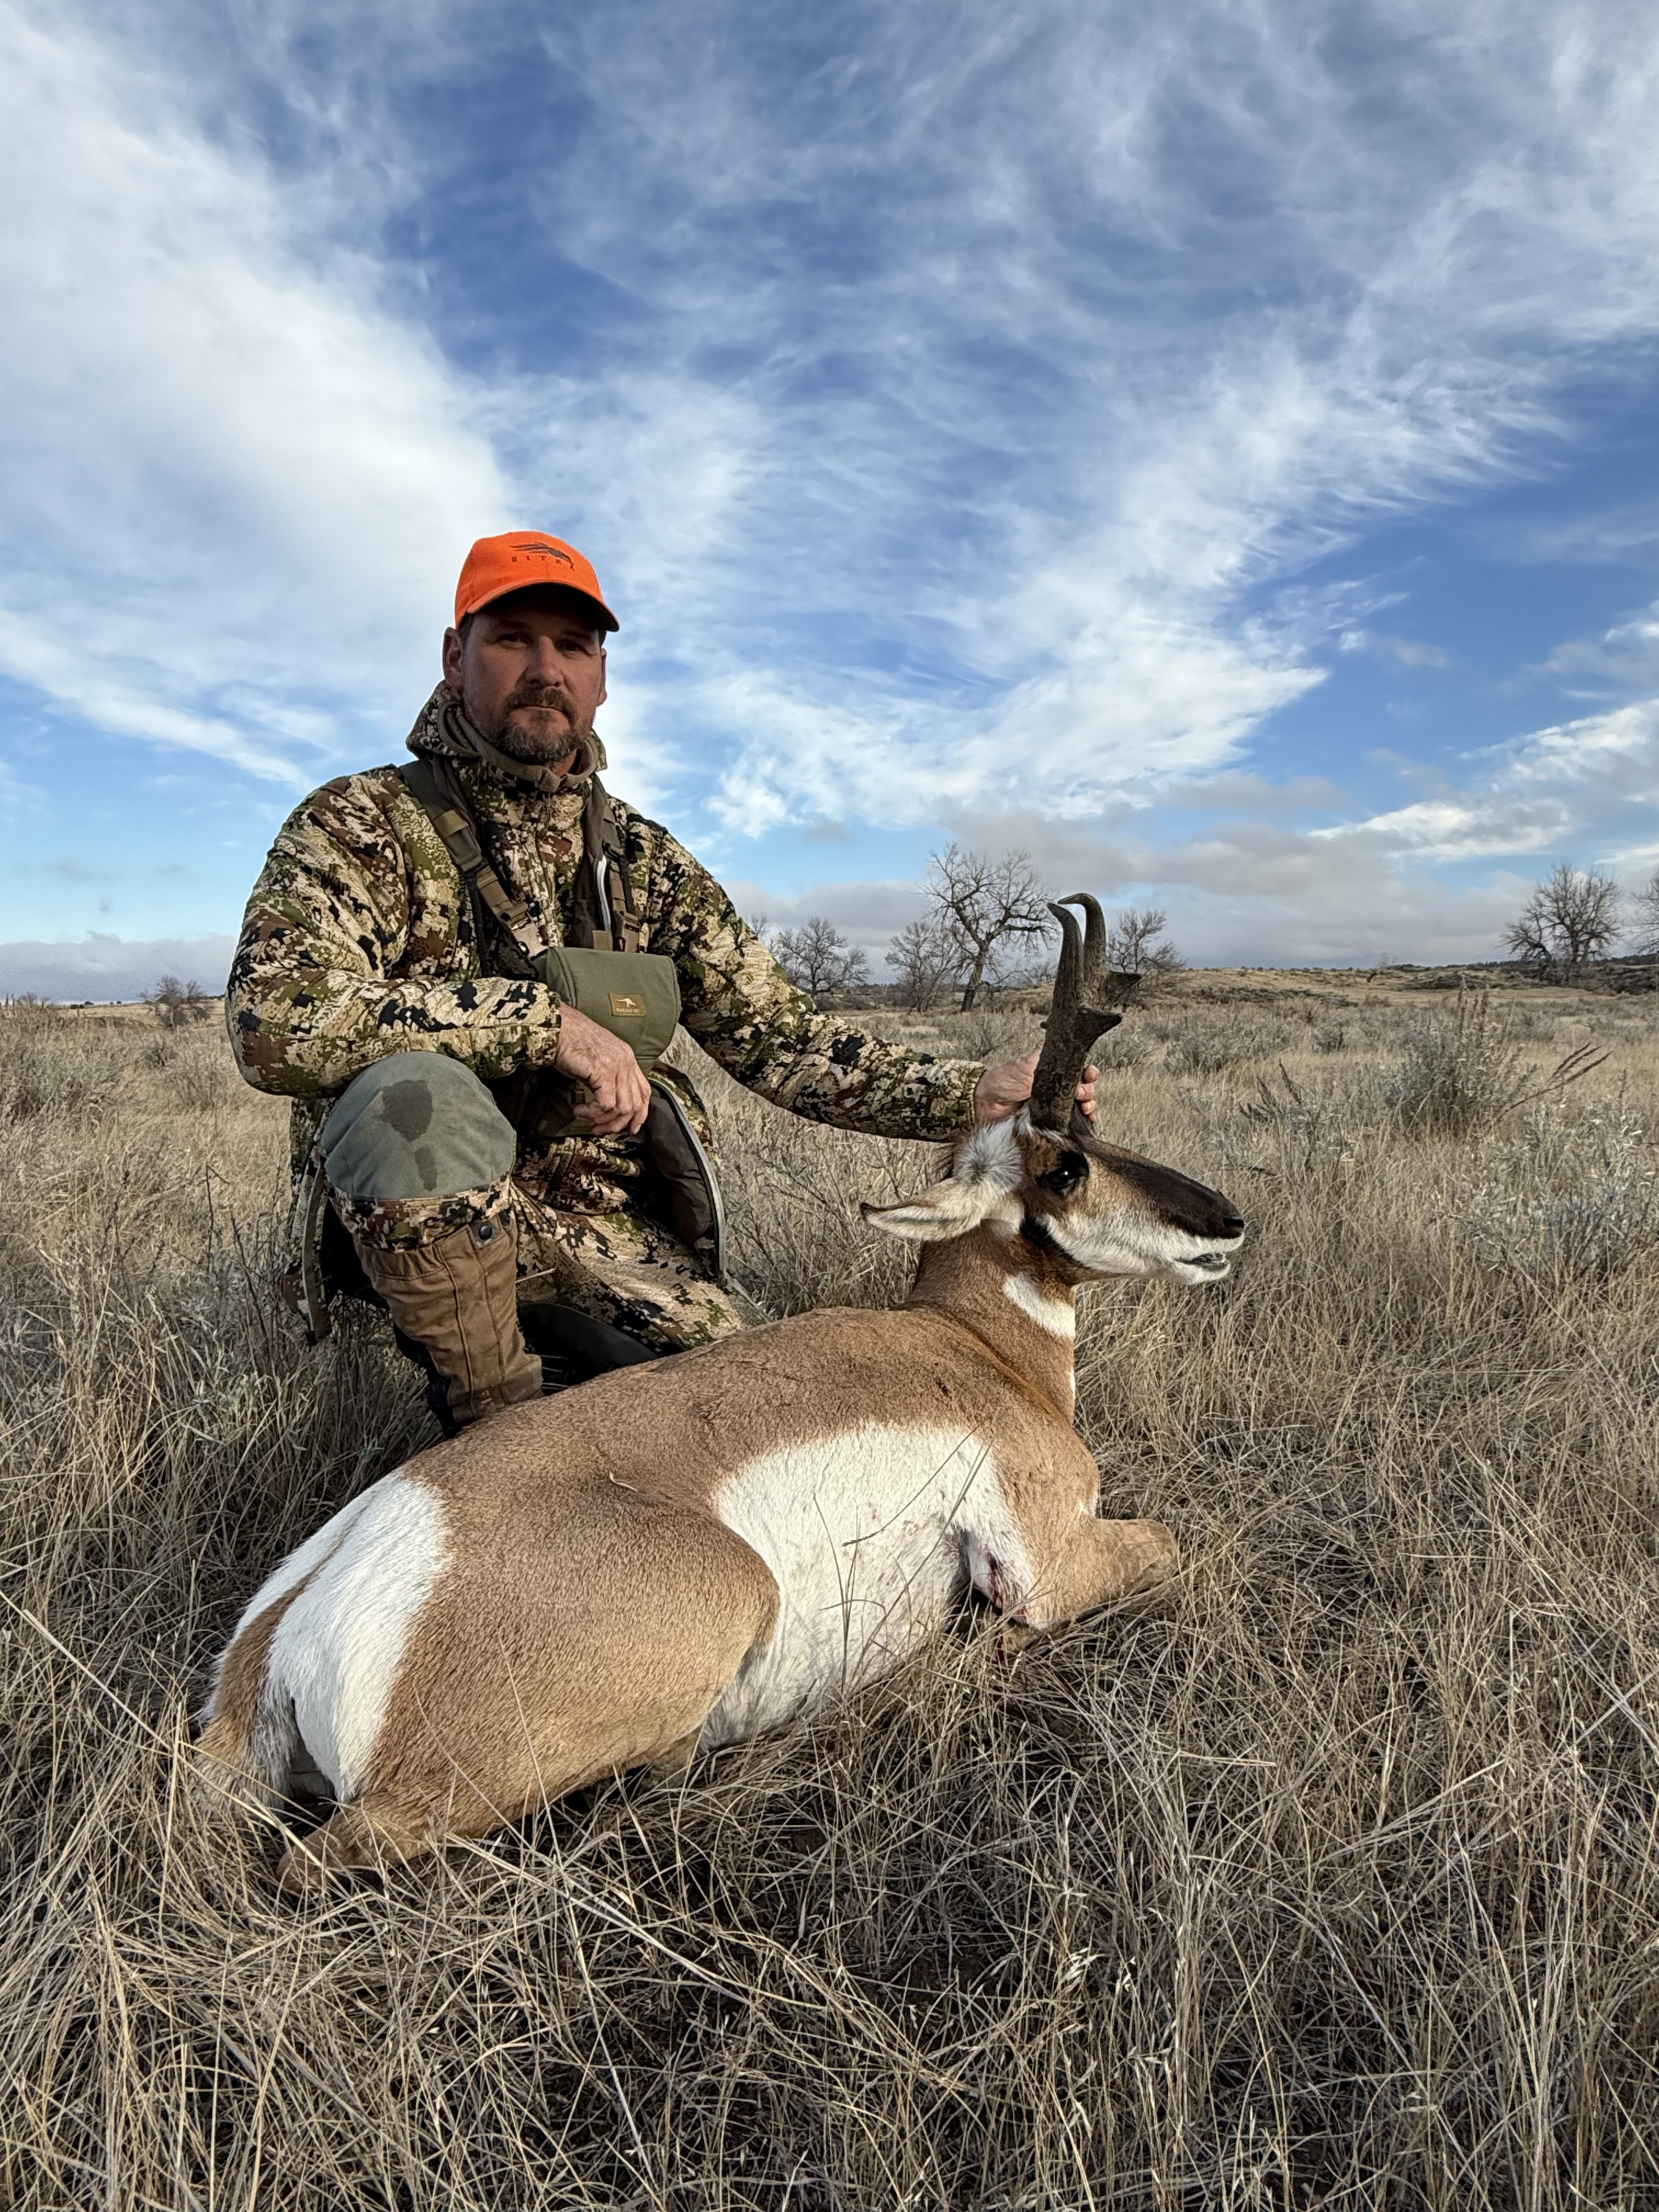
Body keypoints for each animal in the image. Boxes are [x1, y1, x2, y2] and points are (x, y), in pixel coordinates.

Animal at [199, 897, 1245, 1893]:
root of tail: (289, 1635)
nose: (1227, 1220)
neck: (972, 1349)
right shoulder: (1049, 1560)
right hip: (714, 1608)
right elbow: (1167, 1541)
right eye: (1063, 1168)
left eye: (1096, 1132)